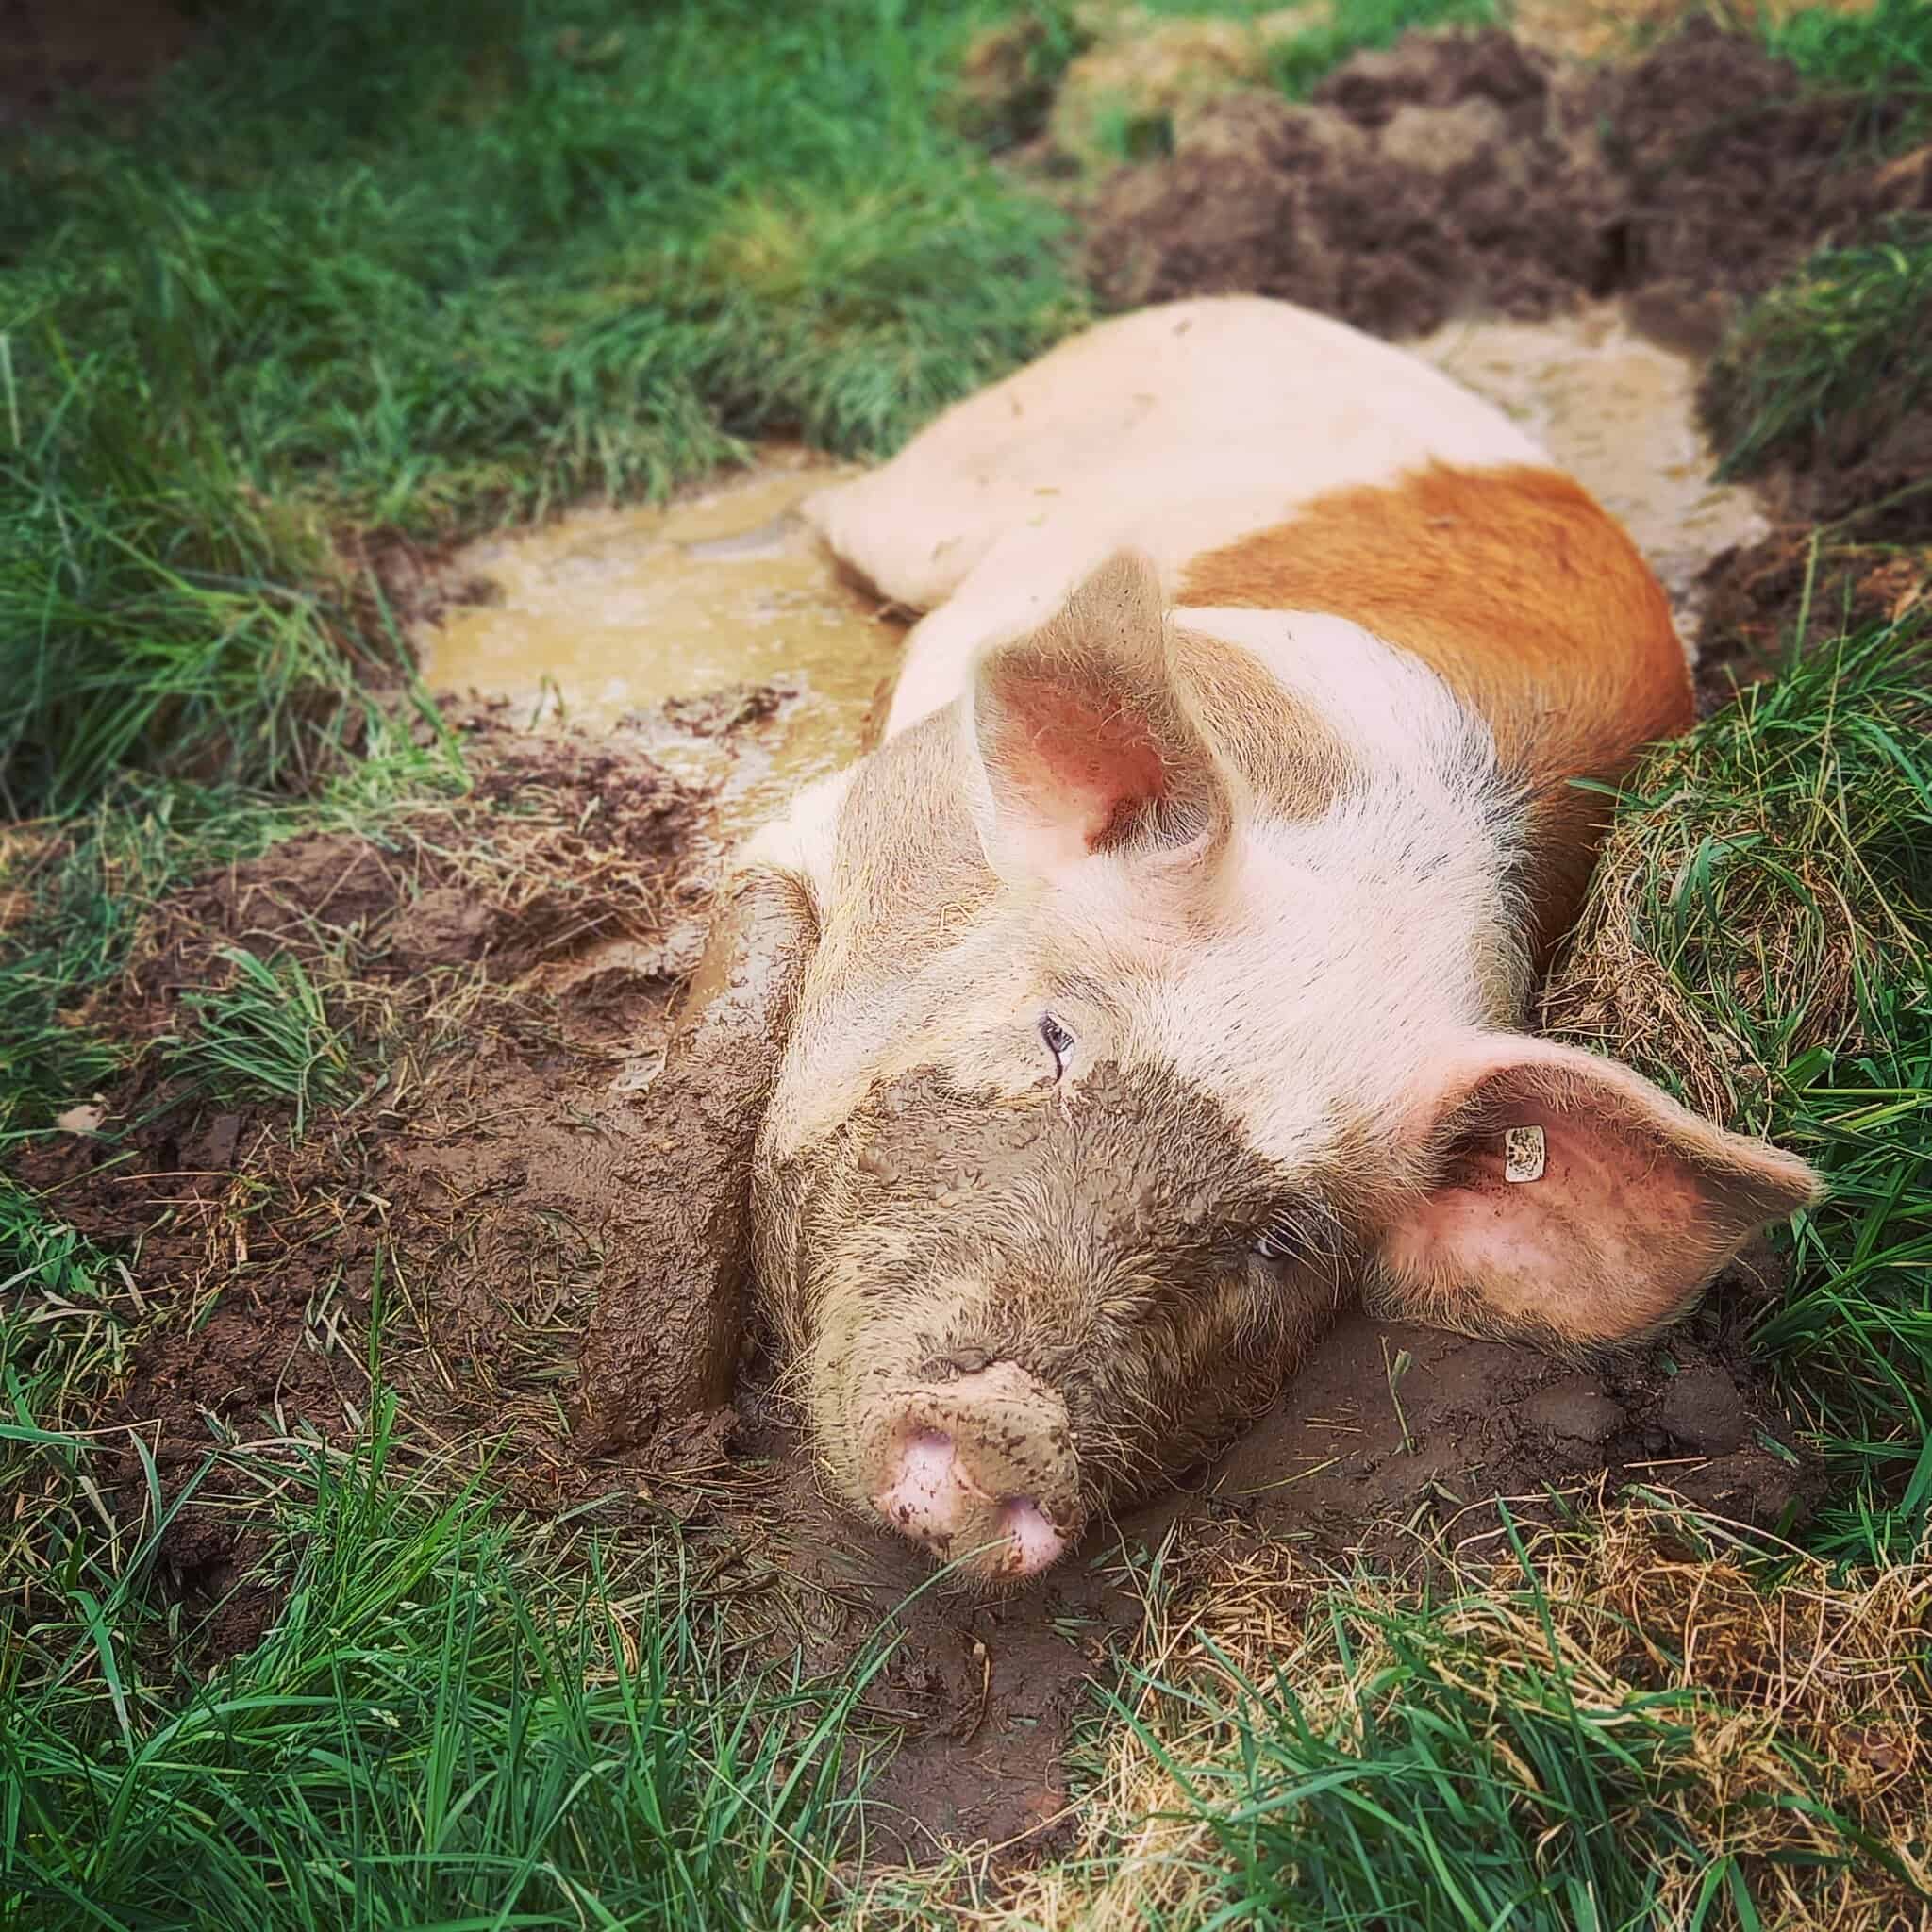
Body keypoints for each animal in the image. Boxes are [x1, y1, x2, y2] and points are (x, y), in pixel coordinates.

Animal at [592, 295, 1820, 1585]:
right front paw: (642, 1440)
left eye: (1280, 1241)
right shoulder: (823, 819)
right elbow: (722, 1067)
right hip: (956, 478)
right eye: (1054, 1034)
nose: (1005, 1426)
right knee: (840, 508)